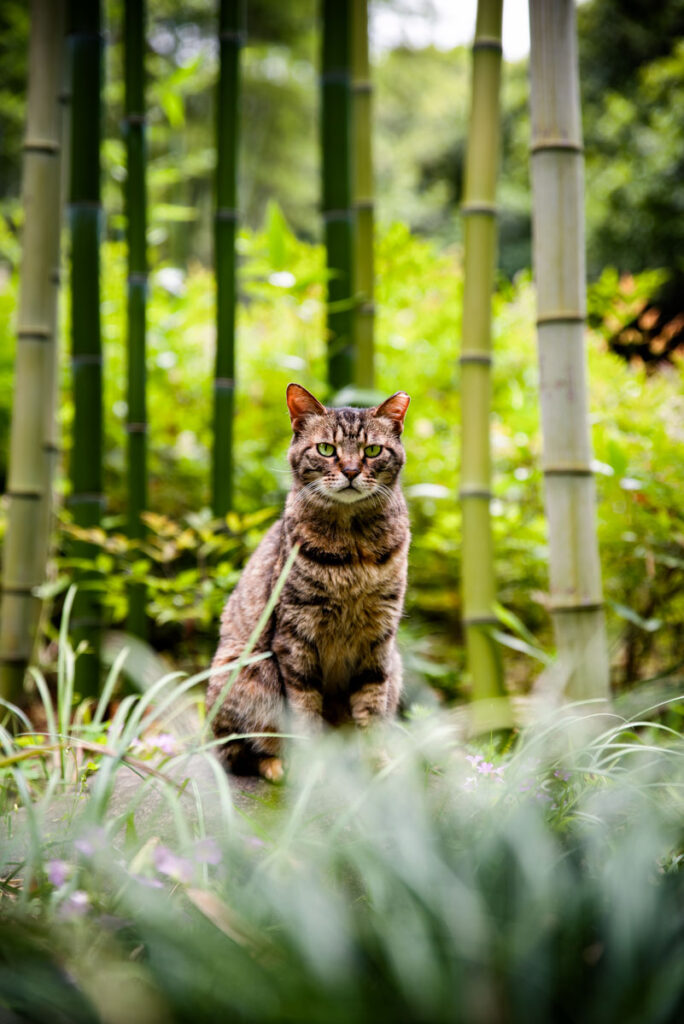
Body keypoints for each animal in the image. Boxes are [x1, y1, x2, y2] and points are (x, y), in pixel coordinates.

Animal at [206, 380, 411, 778]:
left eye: (373, 450)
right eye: (326, 449)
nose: (351, 470)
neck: (353, 549)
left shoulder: (379, 639)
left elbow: (372, 706)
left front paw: (376, 763)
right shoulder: (296, 635)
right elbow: (304, 710)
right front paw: (314, 766)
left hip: (395, 665)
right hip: (249, 672)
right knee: (239, 753)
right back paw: (276, 766)